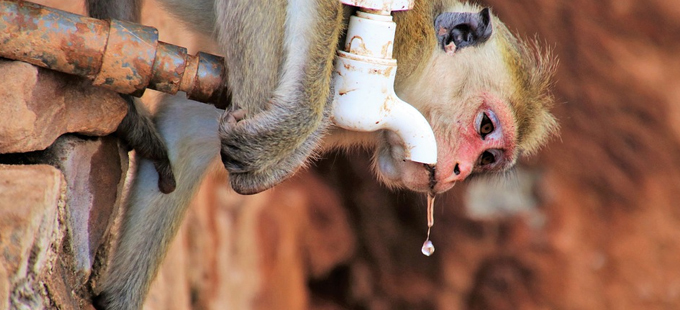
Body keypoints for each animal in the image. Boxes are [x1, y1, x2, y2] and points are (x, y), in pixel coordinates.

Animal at [85, 1, 556, 308]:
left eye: (489, 160)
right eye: (485, 126)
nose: (459, 171)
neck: (410, 75)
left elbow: (189, 131)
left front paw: (117, 300)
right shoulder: (405, 39)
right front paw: (293, 126)